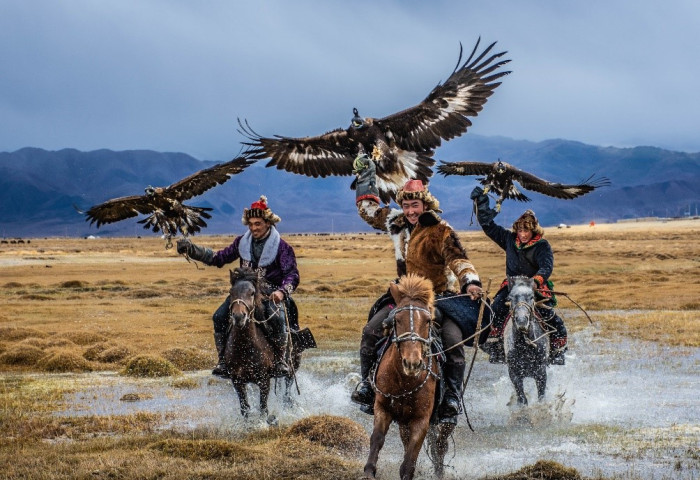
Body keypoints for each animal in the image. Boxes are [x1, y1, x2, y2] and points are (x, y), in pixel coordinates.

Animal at [224, 266, 300, 424]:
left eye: (252, 293)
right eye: (231, 292)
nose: (239, 317)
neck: (245, 347)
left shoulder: (264, 380)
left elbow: (263, 408)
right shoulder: (237, 381)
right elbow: (245, 408)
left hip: (292, 367)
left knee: (287, 392)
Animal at [364, 274, 456, 480]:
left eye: (428, 321)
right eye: (397, 319)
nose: (412, 363)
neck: (404, 381)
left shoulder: (421, 419)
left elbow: (411, 458)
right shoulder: (382, 407)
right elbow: (377, 438)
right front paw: (369, 471)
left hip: (444, 420)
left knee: (440, 445)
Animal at [506, 276, 548, 404]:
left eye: (532, 297)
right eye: (510, 298)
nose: (521, 321)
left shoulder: (541, 372)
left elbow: (541, 397)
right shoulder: (514, 374)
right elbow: (522, 399)